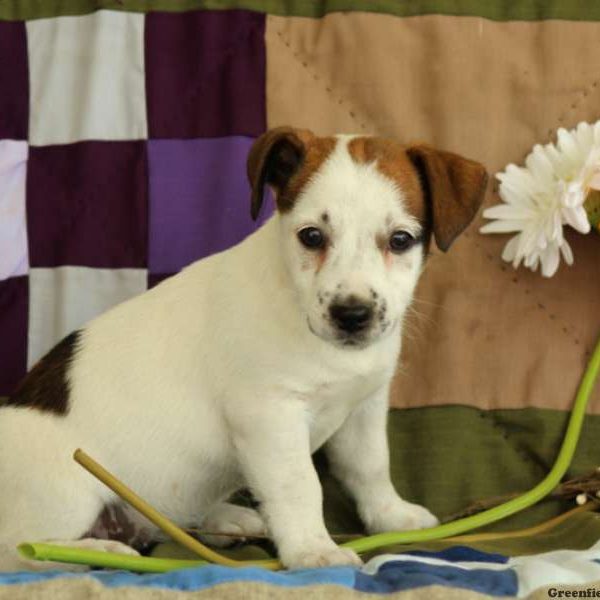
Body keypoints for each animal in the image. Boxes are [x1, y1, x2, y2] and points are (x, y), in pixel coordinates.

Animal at [0, 127, 488, 572]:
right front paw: (312, 550)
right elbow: (300, 485)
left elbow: (369, 465)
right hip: (67, 488)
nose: (352, 314)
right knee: (21, 552)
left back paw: (225, 519)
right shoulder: (271, 415)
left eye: (401, 240)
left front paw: (389, 516)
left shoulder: (365, 406)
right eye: (311, 236)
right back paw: (93, 553)